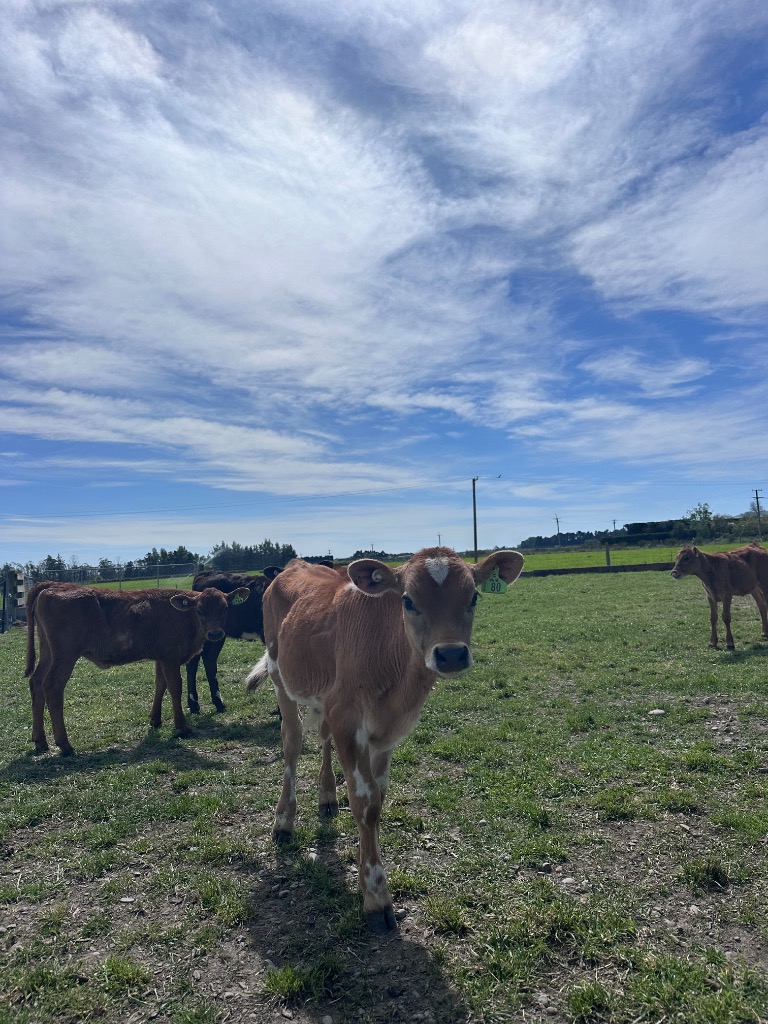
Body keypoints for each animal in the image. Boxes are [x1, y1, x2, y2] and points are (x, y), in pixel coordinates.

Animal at [25, 581, 249, 756]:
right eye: (200, 610)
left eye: (225, 608)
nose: (215, 634)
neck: (182, 617)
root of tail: (53, 585)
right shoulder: (170, 657)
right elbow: (175, 687)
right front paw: (182, 727)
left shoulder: (160, 658)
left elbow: (160, 685)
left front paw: (155, 720)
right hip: (65, 655)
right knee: (52, 686)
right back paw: (65, 745)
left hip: (48, 651)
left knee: (36, 682)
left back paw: (40, 740)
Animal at [245, 546, 524, 932]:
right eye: (407, 600)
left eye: (473, 596)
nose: (451, 653)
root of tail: (294, 565)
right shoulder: (348, 719)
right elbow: (365, 803)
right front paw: (376, 895)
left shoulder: (385, 732)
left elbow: (378, 800)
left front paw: (364, 865)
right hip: (279, 676)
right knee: (292, 742)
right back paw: (284, 820)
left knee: (323, 736)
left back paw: (327, 796)